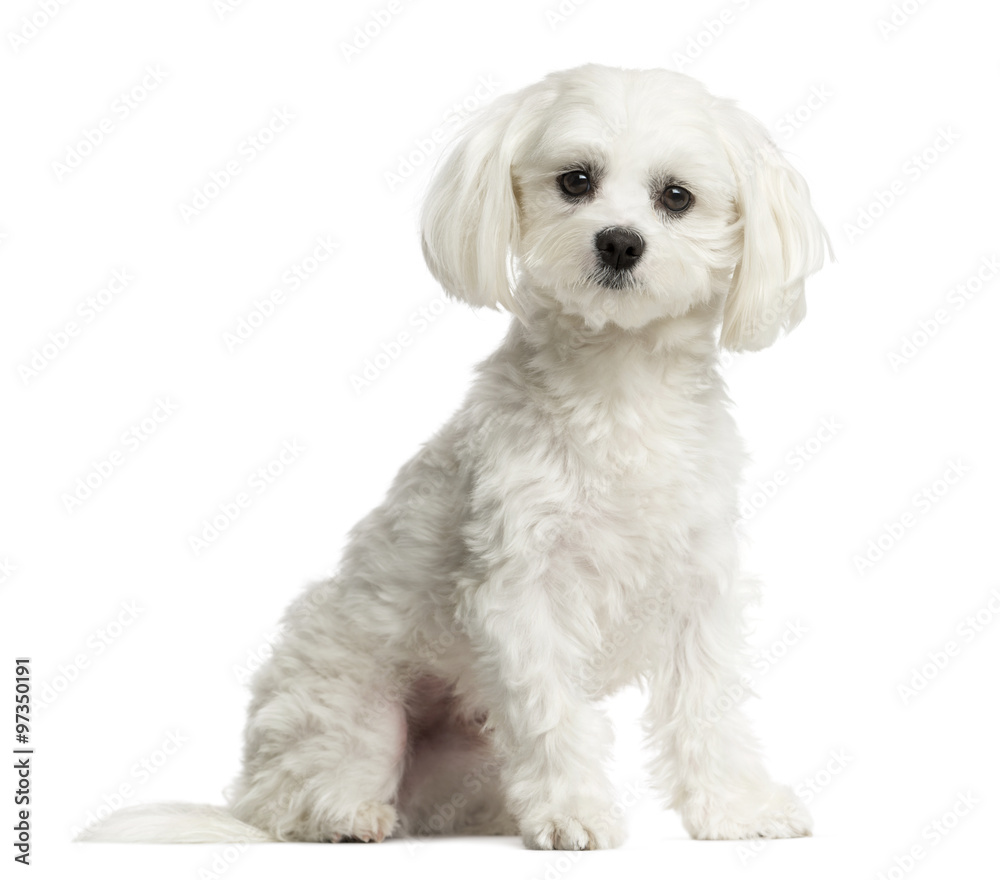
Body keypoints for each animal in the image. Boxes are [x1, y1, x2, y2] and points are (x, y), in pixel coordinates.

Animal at [84, 65, 828, 848]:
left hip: (468, 757)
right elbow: (551, 712)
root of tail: (245, 806)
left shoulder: (698, 584)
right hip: (352, 712)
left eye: (676, 197)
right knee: (303, 797)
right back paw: (348, 816)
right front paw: (572, 812)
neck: (618, 388)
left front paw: (738, 808)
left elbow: (708, 709)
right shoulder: (519, 586)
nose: (620, 243)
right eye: (576, 180)